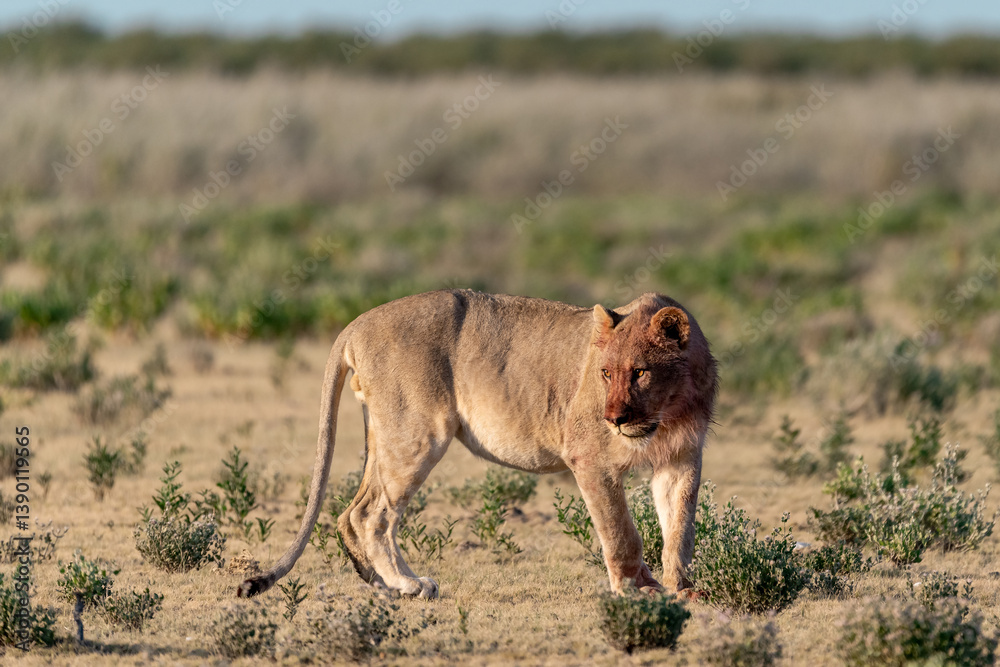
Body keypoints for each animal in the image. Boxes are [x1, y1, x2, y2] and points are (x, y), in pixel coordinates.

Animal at [237, 289, 717, 599]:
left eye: (639, 372)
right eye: (605, 373)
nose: (613, 418)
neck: (665, 414)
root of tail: (355, 323)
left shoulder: (681, 459)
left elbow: (680, 529)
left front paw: (683, 589)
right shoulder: (589, 457)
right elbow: (621, 533)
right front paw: (638, 590)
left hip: (386, 434)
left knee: (352, 512)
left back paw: (388, 584)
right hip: (417, 434)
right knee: (371, 514)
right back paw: (408, 585)